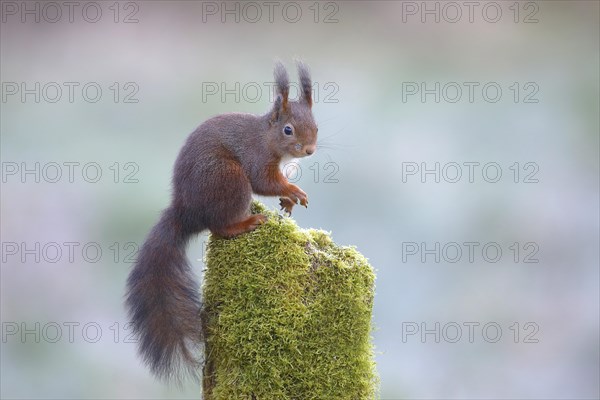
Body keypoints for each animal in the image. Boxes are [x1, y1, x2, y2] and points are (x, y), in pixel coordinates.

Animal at [124, 61, 316, 382]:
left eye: (316, 125)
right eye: (288, 130)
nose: (310, 150)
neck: (267, 138)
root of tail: (186, 213)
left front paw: (288, 199)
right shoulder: (256, 159)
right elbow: (265, 182)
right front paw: (293, 191)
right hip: (229, 179)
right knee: (219, 227)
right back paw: (247, 222)